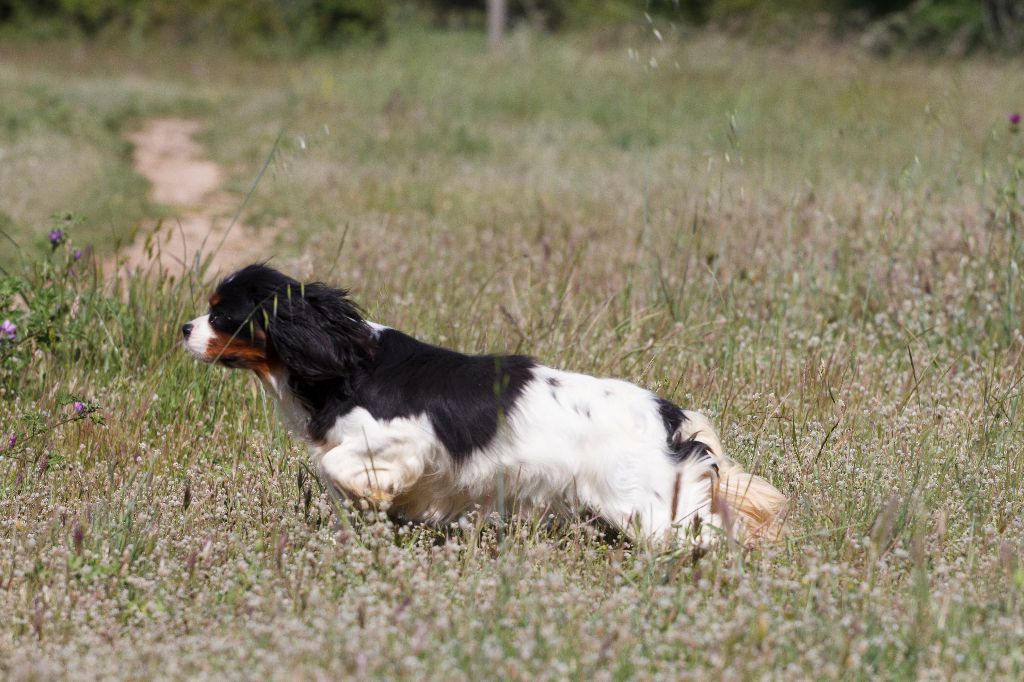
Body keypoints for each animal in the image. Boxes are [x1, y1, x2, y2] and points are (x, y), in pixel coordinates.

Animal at [184, 262, 786, 544]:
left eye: (221, 314)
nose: (184, 327)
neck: (344, 363)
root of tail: (671, 415)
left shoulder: (404, 439)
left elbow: (334, 465)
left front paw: (372, 494)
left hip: (650, 507)